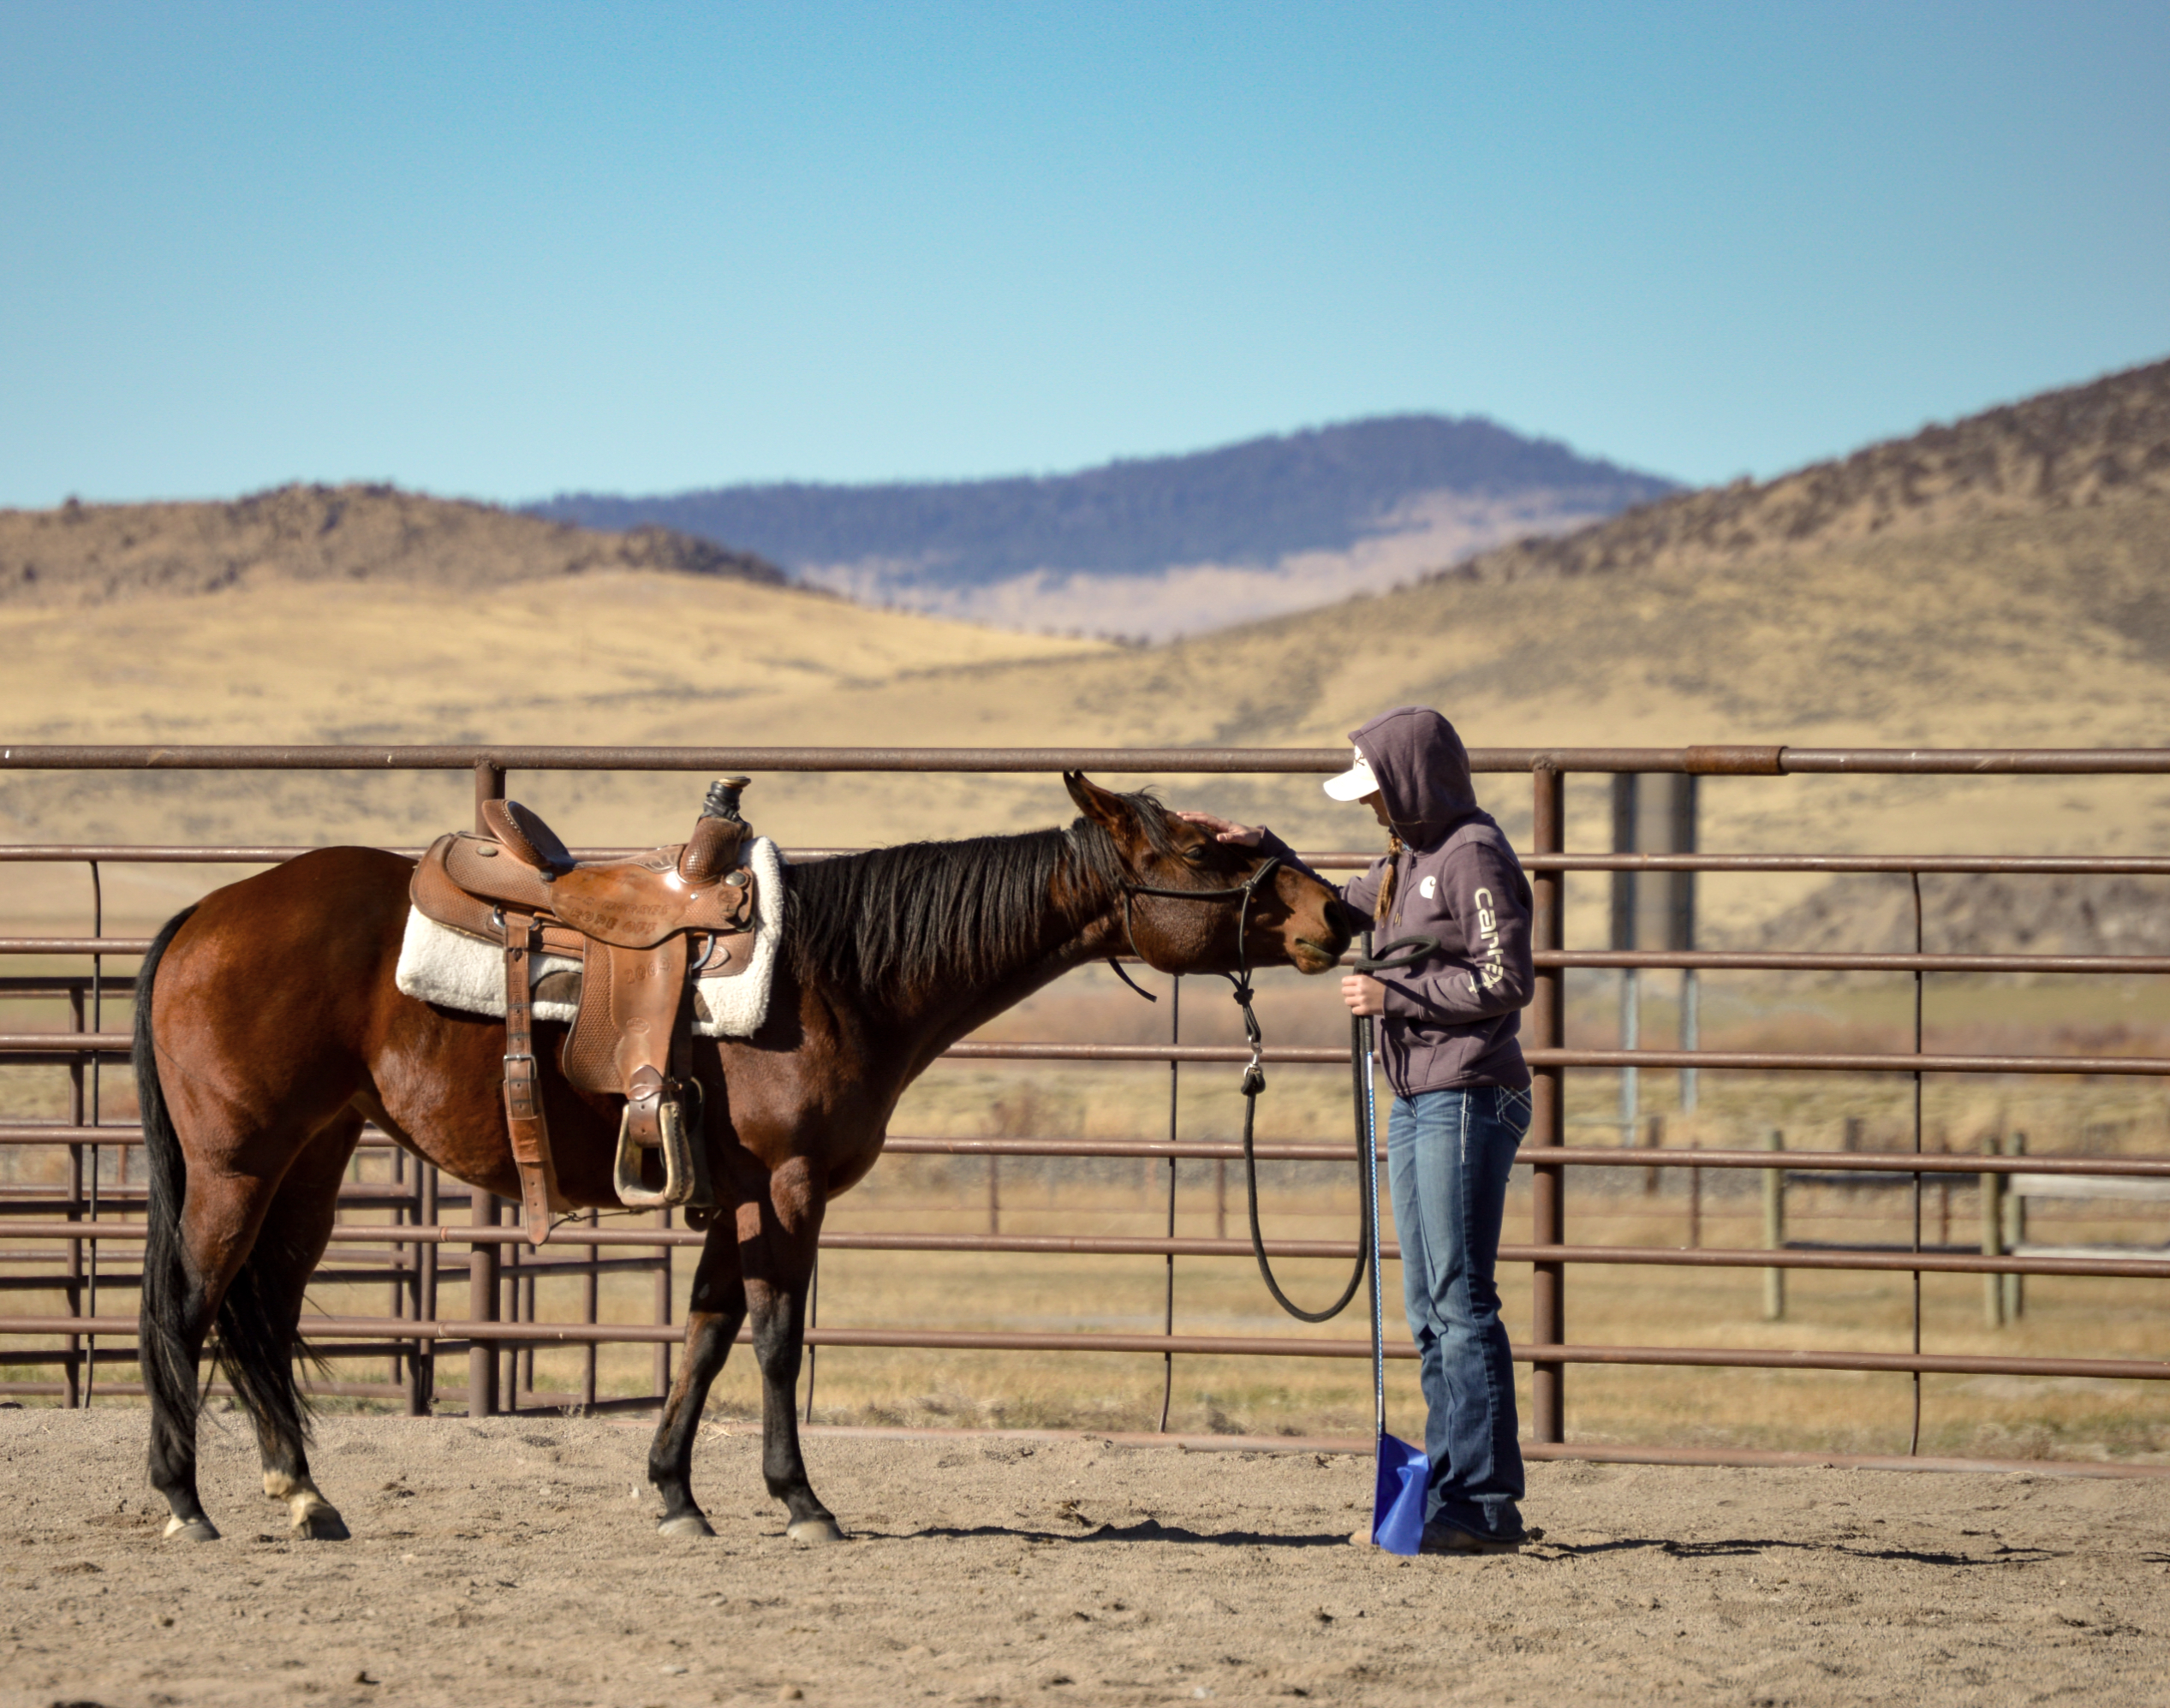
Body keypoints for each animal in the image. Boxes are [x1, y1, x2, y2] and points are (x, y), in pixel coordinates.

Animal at [132, 772, 1353, 1545]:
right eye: (1200, 846)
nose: (1336, 912)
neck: (838, 974)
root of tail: (205, 910)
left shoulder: (732, 1197)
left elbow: (708, 1332)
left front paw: (676, 1493)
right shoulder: (786, 1187)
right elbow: (771, 1337)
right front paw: (798, 1500)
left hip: (312, 1163)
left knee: (259, 1312)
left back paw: (303, 1496)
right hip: (238, 1164)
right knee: (191, 1305)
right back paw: (185, 1503)